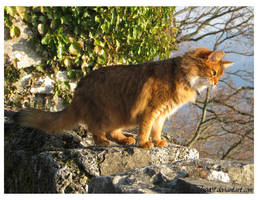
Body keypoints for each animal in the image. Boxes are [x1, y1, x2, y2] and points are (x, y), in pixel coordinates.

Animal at [16, 47, 234, 148]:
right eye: (214, 73)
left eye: (219, 76)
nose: (216, 83)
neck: (180, 74)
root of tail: (78, 89)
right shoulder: (151, 110)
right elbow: (145, 129)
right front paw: (144, 143)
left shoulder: (162, 114)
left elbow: (156, 130)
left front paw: (158, 141)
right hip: (105, 112)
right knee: (95, 130)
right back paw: (104, 141)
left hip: (120, 116)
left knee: (112, 131)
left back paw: (124, 139)